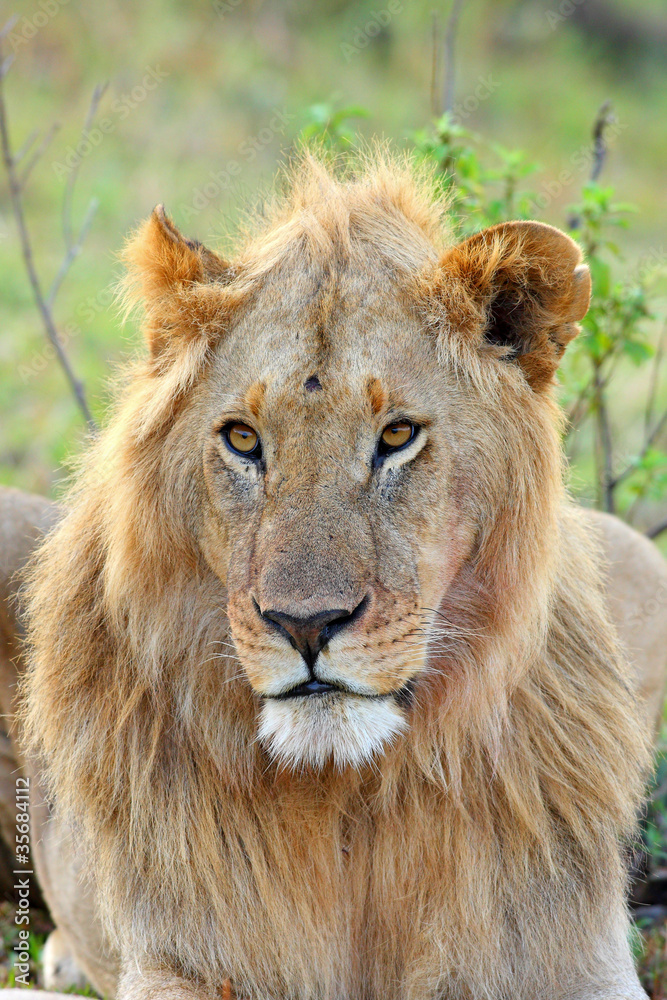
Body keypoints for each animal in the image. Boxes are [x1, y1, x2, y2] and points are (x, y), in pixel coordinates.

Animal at [1, 152, 667, 996]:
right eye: (243, 439)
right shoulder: (175, 957)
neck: (350, 804)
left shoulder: (574, 954)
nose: (306, 625)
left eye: (397, 435)